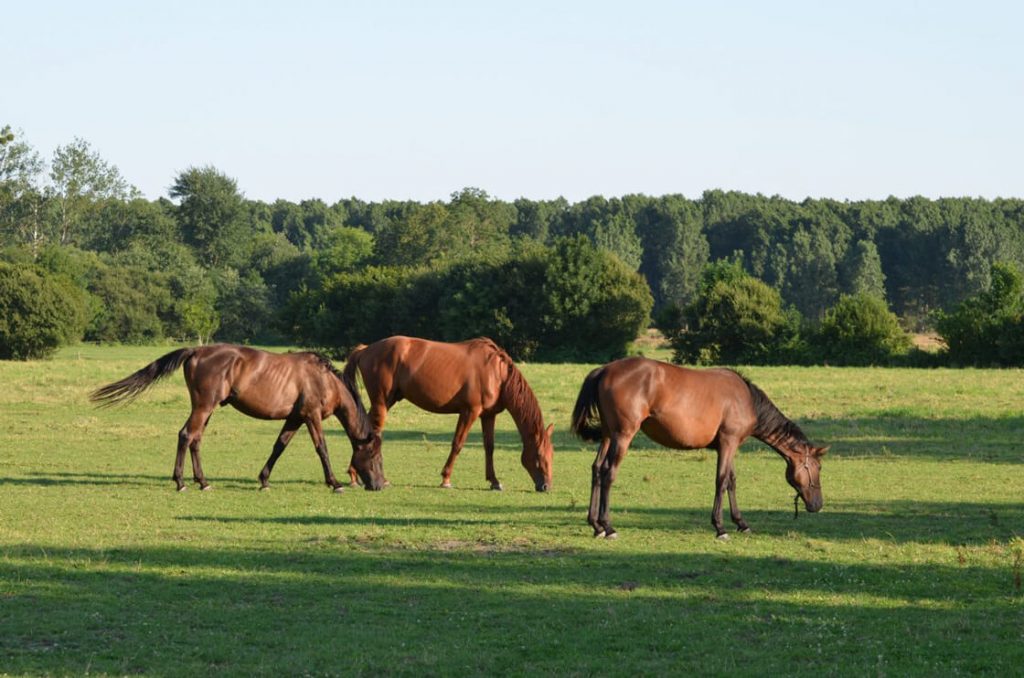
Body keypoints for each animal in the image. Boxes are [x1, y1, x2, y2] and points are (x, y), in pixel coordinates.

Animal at [89, 344, 386, 492]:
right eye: (375, 456)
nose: (379, 486)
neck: (323, 380)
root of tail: (196, 351)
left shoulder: (295, 418)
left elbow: (279, 447)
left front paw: (264, 481)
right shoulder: (311, 416)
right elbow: (321, 448)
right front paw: (335, 483)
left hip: (206, 409)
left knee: (196, 439)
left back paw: (203, 482)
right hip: (203, 406)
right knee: (186, 435)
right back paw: (181, 482)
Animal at [343, 336, 554, 491]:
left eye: (552, 454)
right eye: (539, 455)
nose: (546, 486)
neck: (497, 374)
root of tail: (365, 349)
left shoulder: (488, 415)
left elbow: (489, 447)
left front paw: (494, 482)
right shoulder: (469, 411)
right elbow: (457, 444)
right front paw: (446, 479)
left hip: (388, 401)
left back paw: (356, 475)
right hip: (381, 403)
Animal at [571, 357, 827, 539]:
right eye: (818, 468)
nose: (817, 505)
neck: (746, 400)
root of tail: (604, 370)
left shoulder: (729, 446)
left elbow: (731, 481)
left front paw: (741, 523)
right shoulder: (728, 442)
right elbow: (721, 481)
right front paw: (720, 527)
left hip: (608, 435)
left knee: (596, 470)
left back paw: (596, 525)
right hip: (623, 436)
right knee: (608, 473)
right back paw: (608, 526)